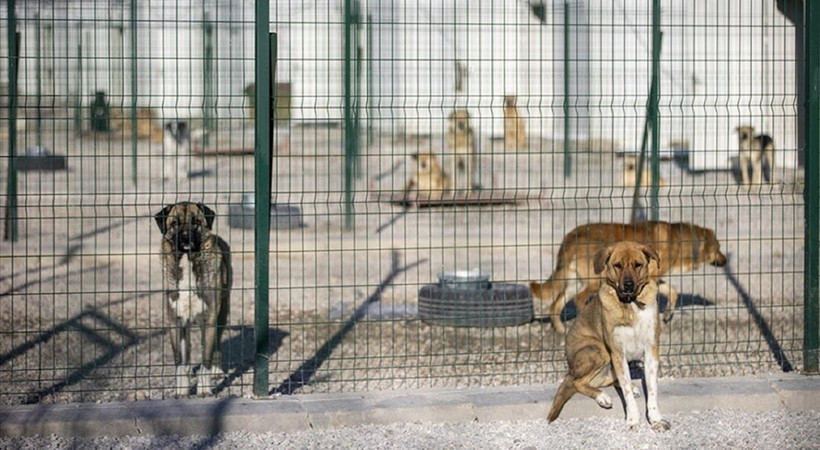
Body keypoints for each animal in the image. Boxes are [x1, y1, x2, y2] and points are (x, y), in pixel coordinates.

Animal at [155, 202, 232, 396]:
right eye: (175, 223)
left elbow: (206, 359)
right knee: (187, 348)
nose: (185, 237)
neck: (188, 261)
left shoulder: (209, 320)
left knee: (217, 345)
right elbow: (179, 360)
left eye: (195, 222)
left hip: (222, 313)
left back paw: (217, 371)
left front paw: (204, 389)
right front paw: (182, 390)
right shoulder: (175, 321)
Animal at [532, 221, 732, 334]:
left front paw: (668, 313)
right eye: (718, 248)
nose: (726, 260)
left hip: (572, 281)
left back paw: (561, 331)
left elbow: (672, 291)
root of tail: (571, 236)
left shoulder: (651, 278)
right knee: (580, 300)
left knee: (555, 305)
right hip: (594, 281)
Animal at [548, 241, 668, 430]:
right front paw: (632, 419)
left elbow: (652, 390)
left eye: (638, 265)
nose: (628, 285)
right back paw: (602, 396)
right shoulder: (617, 353)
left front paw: (655, 419)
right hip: (599, 351)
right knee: (577, 382)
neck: (630, 305)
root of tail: (570, 368)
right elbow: (626, 392)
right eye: (617, 265)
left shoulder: (651, 351)